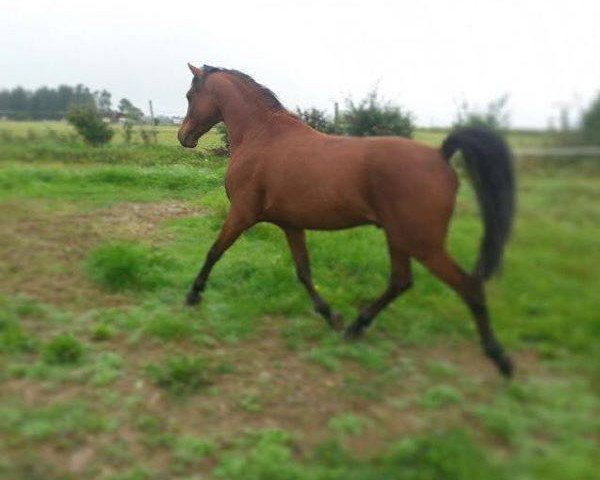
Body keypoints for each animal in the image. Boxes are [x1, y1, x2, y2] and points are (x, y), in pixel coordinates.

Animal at [178, 64, 516, 378]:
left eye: (190, 95)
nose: (184, 137)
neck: (262, 136)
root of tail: (440, 155)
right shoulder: (291, 225)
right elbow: (304, 272)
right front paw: (331, 316)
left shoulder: (242, 214)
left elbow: (214, 252)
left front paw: (193, 295)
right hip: (399, 237)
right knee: (401, 281)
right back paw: (355, 328)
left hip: (423, 244)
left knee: (469, 286)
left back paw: (500, 359)